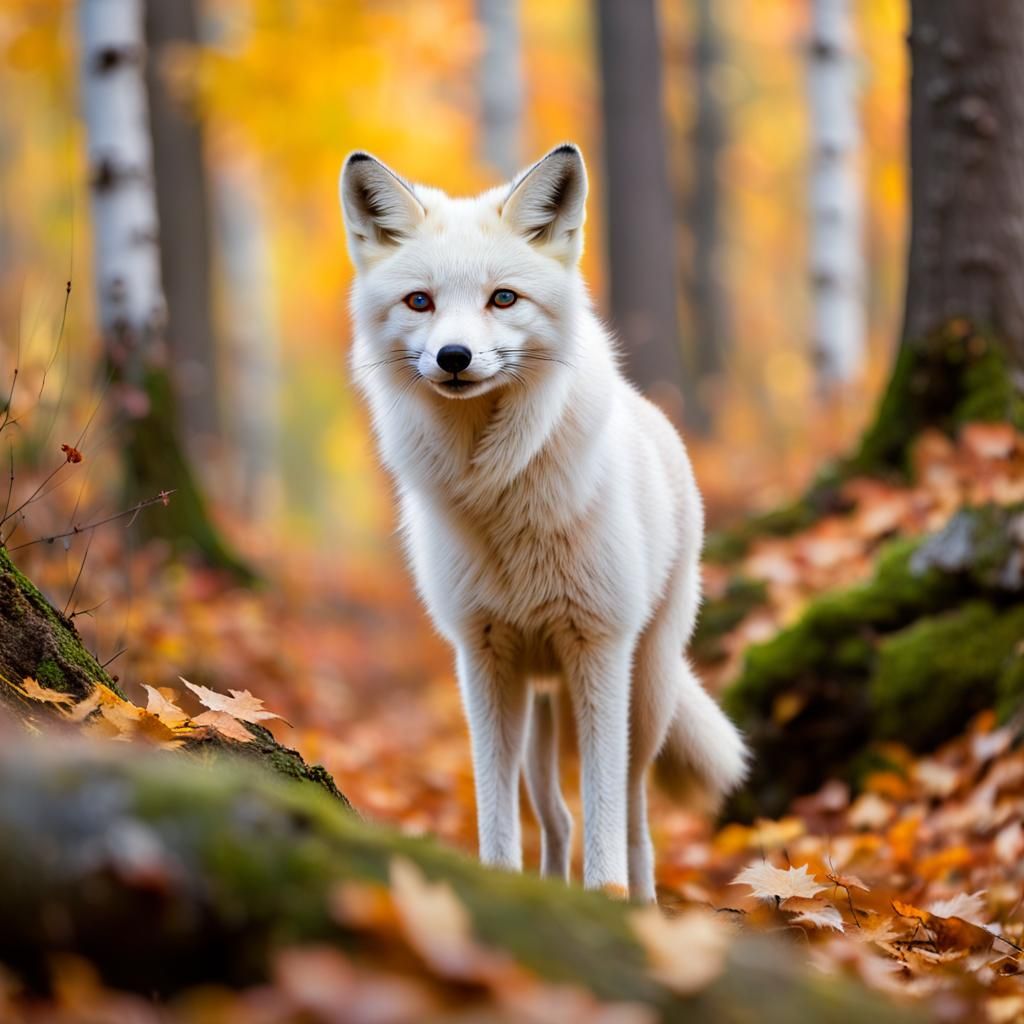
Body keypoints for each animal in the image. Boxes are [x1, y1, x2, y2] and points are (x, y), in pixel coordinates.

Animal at [339, 143, 748, 901]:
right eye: (420, 301)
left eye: (503, 298)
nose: (454, 358)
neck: (499, 492)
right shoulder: (482, 659)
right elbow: (499, 824)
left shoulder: (599, 649)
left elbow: (607, 831)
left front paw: (606, 905)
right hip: (536, 714)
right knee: (556, 820)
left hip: (644, 693)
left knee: (636, 819)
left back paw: (646, 904)